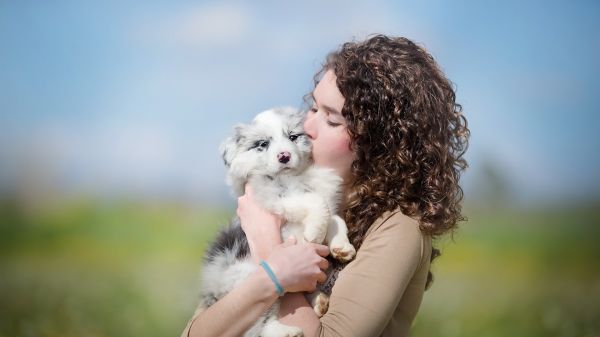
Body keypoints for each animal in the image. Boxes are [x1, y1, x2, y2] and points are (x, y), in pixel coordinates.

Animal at [198, 107, 356, 336]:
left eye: (293, 137)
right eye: (263, 144)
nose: (284, 156)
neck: (296, 177)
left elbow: (335, 217)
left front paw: (342, 247)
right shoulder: (274, 196)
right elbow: (316, 202)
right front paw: (315, 233)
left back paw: (318, 301)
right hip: (251, 282)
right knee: (259, 325)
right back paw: (287, 331)